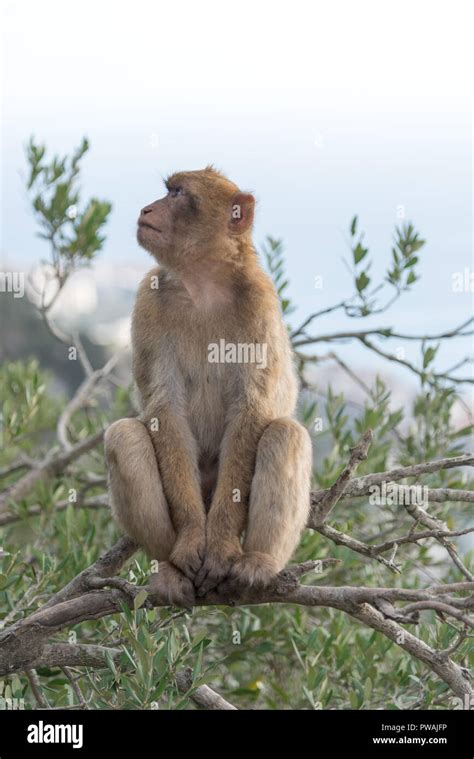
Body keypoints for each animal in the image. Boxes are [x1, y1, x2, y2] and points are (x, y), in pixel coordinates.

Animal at [104, 166, 312, 604]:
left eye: (178, 194)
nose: (147, 208)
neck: (202, 283)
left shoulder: (260, 302)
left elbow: (253, 408)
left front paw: (220, 548)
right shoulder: (149, 298)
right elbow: (164, 408)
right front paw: (190, 542)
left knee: (285, 435)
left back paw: (257, 563)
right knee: (124, 435)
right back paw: (169, 566)